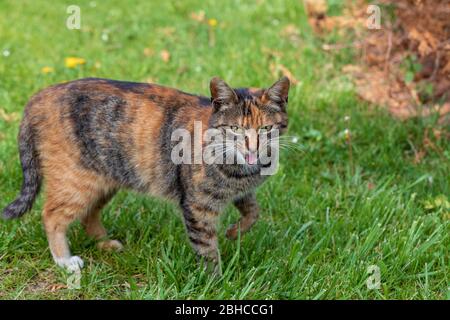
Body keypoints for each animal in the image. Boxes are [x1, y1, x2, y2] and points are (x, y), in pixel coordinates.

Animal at [1, 76, 290, 274]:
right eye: (235, 129)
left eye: (265, 129)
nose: (252, 147)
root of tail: (40, 96)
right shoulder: (198, 207)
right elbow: (207, 249)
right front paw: (216, 282)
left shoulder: (240, 191)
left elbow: (253, 211)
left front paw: (234, 232)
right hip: (77, 182)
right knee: (52, 216)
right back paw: (64, 260)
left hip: (104, 179)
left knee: (88, 214)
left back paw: (104, 243)